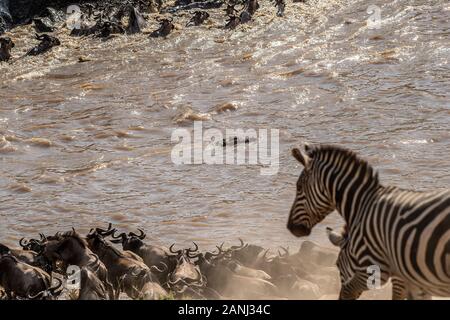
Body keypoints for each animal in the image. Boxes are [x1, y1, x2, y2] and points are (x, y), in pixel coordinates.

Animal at [286, 144, 448, 298]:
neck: (362, 206)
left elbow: (348, 291)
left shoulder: (376, 269)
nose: (290, 227)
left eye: (299, 187)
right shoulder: (410, 280)